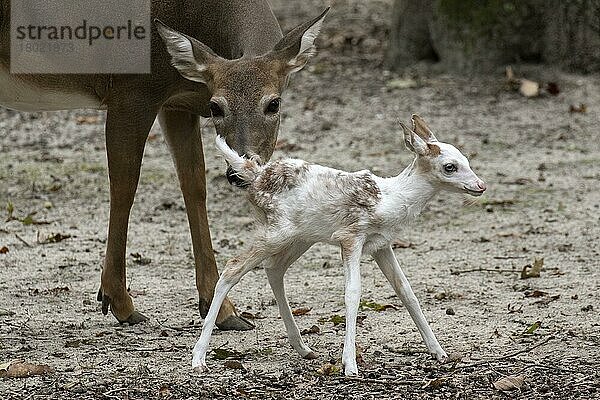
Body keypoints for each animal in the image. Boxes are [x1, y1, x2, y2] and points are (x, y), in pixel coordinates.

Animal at [0, 1, 328, 330]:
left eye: (274, 103)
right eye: (216, 107)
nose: (239, 171)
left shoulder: (176, 104)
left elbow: (194, 185)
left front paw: (224, 311)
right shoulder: (132, 91)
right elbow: (124, 186)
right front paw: (119, 301)